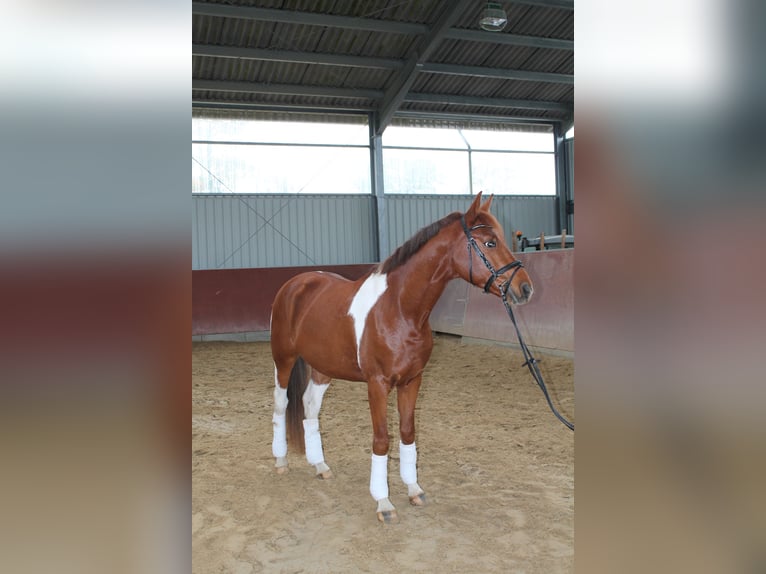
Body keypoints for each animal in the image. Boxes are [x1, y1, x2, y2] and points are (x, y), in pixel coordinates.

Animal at [269, 192, 533, 523]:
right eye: (490, 242)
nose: (525, 288)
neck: (399, 308)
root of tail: (295, 284)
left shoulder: (412, 381)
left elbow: (407, 434)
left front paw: (413, 489)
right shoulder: (377, 385)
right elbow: (382, 439)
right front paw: (383, 502)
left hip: (322, 368)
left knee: (309, 406)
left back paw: (320, 465)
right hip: (283, 360)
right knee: (281, 405)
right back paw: (280, 461)